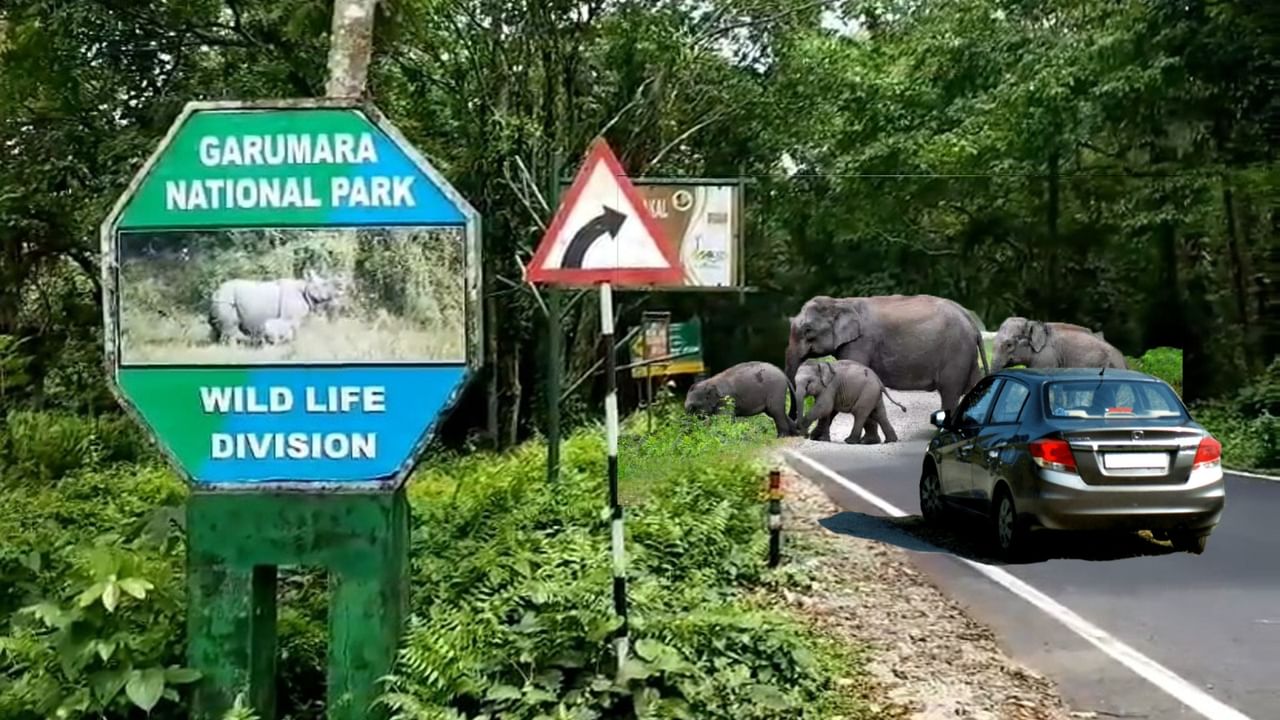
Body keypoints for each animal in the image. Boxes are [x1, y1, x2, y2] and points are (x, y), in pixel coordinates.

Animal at [778, 292, 988, 430]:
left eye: (808, 330)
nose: (793, 425)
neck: (840, 302)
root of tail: (971, 321)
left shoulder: (860, 343)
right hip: (967, 355)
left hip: (956, 353)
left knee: (950, 392)